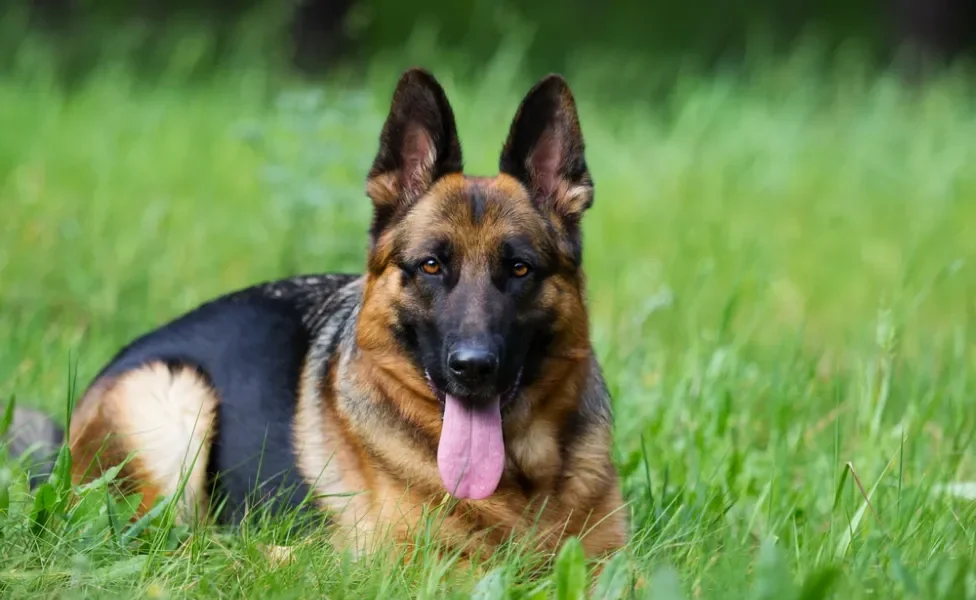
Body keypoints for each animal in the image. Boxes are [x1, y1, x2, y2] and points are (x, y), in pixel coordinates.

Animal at [7, 68, 628, 560]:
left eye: (520, 269)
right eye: (430, 266)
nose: (473, 367)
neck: (523, 479)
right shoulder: (422, 566)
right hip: (173, 398)